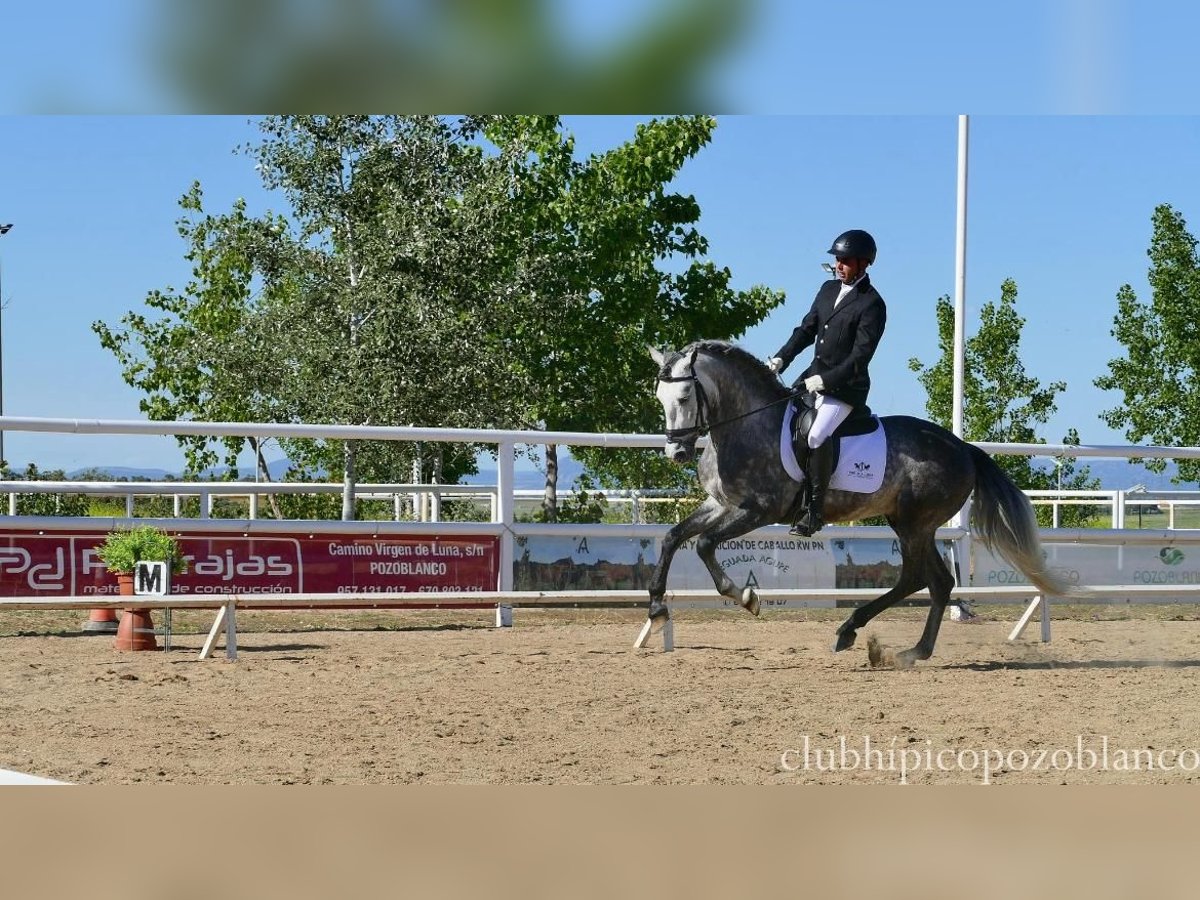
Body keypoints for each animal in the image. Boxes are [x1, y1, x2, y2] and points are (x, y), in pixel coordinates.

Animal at [648, 340, 1080, 667]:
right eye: (659, 397)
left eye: (684, 396)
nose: (676, 453)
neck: (747, 425)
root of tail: (963, 449)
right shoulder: (720, 504)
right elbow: (673, 538)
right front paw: (656, 610)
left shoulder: (757, 510)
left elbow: (705, 545)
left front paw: (746, 598)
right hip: (909, 523)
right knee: (937, 582)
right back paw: (912, 651)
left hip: (914, 524)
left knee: (917, 579)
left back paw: (854, 632)